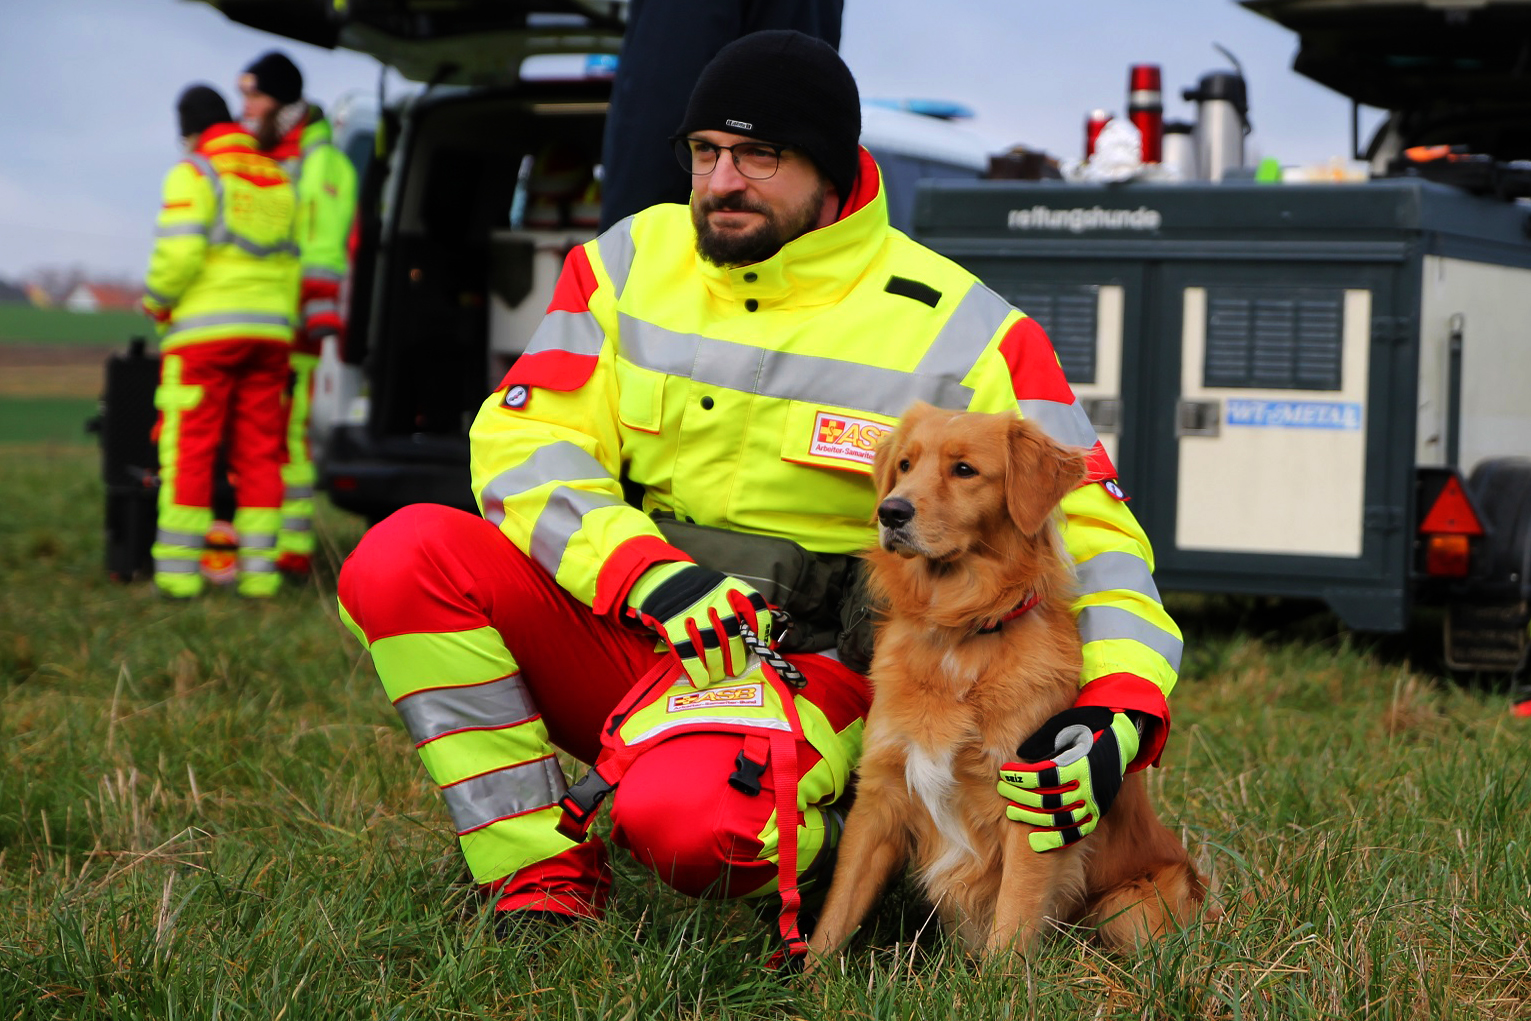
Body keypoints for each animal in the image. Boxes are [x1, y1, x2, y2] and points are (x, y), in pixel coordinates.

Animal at [808, 401, 1200, 967]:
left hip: (1128, 909)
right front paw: (807, 976)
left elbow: (1013, 918)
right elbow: (838, 911)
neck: (961, 633)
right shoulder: (879, 797)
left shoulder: (1034, 806)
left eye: (964, 470)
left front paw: (999, 981)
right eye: (905, 465)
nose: (891, 512)